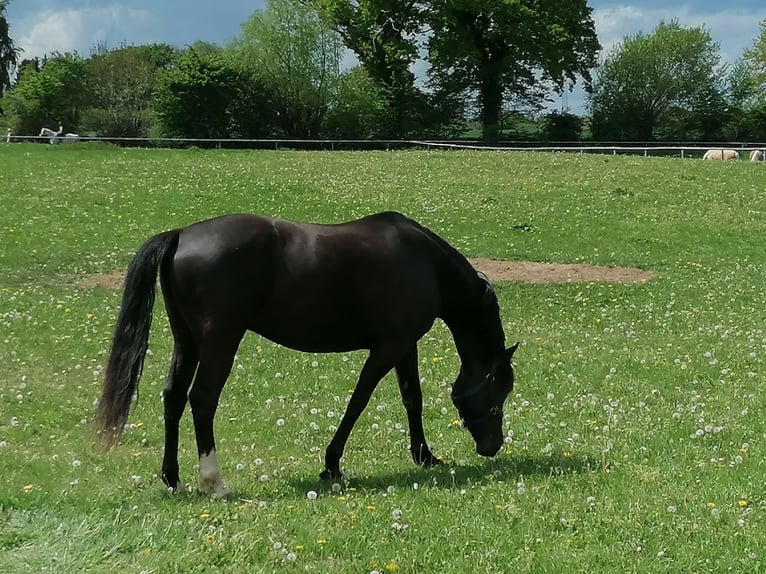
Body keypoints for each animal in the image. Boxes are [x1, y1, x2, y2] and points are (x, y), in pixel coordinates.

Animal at [95, 212, 519, 497]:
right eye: (499, 389)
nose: (493, 446)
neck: (424, 262)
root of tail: (181, 235)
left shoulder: (405, 346)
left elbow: (412, 398)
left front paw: (425, 456)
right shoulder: (388, 348)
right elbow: (358, 402)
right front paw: (331, 464)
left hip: (187, 343)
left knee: (174, 397)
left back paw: (172, 478)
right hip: (219, 344)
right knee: (202, 400)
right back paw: (214, 482)